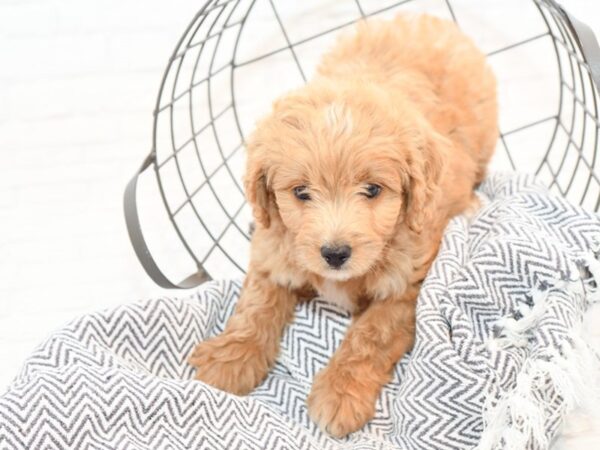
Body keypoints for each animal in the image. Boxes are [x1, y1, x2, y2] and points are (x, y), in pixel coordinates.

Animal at [189, 13, 496, 436]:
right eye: (301, 192)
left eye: (373, 189)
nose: (335, 254)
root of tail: (424, 18)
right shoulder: (273, 249)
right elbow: (255, 305)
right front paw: (229, 359)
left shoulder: (407, 285)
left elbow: (371, 336)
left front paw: (340, 393)